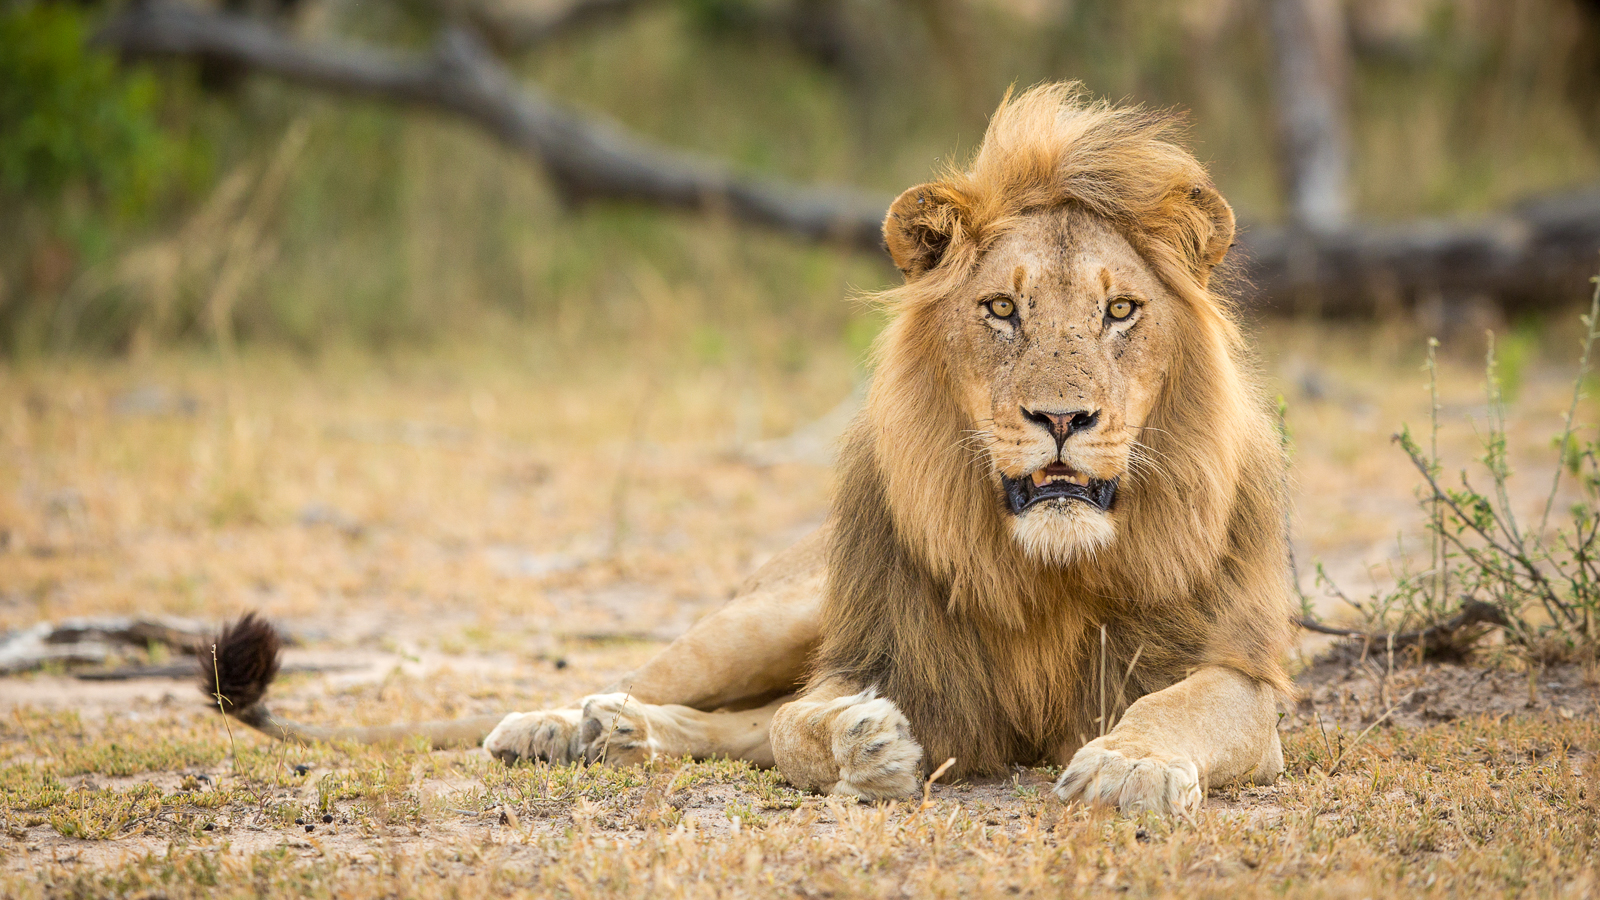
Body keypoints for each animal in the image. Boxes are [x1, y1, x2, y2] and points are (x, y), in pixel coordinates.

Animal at [202, 83, 1294, 816]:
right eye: (1000, 309)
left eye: (1120, 311)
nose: (1062, 418)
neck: (1052, 572)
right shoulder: (880, 659)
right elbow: (799, 724)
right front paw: (864, 749)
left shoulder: (1242, 677)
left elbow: (1183, 707)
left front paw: (1128, 767)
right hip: (774, 613)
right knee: (690, 691)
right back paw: (556, 725)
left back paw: (611, 733)